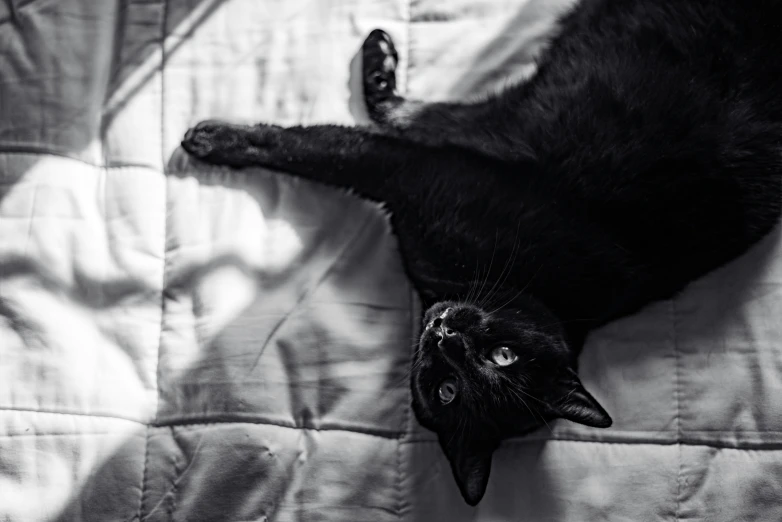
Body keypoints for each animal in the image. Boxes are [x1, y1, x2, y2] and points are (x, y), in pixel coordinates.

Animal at [182, 0, 782, 504]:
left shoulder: (417, 169)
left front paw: (216, 139)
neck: (542, 289)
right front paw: (374, 63)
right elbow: (358, 129)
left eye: (450, 389)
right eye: (503, 356)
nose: (447, 337)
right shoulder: (448, 146)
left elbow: (327, 143)